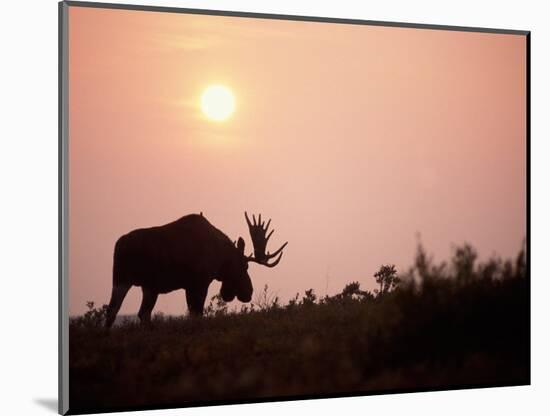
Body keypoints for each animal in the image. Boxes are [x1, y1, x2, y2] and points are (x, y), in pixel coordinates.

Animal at [105, 213, 292, 326]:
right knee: (112, 310)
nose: (249, 292)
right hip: (122, 279)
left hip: (149, 287)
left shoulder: (189, 286)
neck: (220, 256)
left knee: (143, 314)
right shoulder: (199, 283)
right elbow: (197, 313)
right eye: (244, 266)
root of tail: (117, 245)